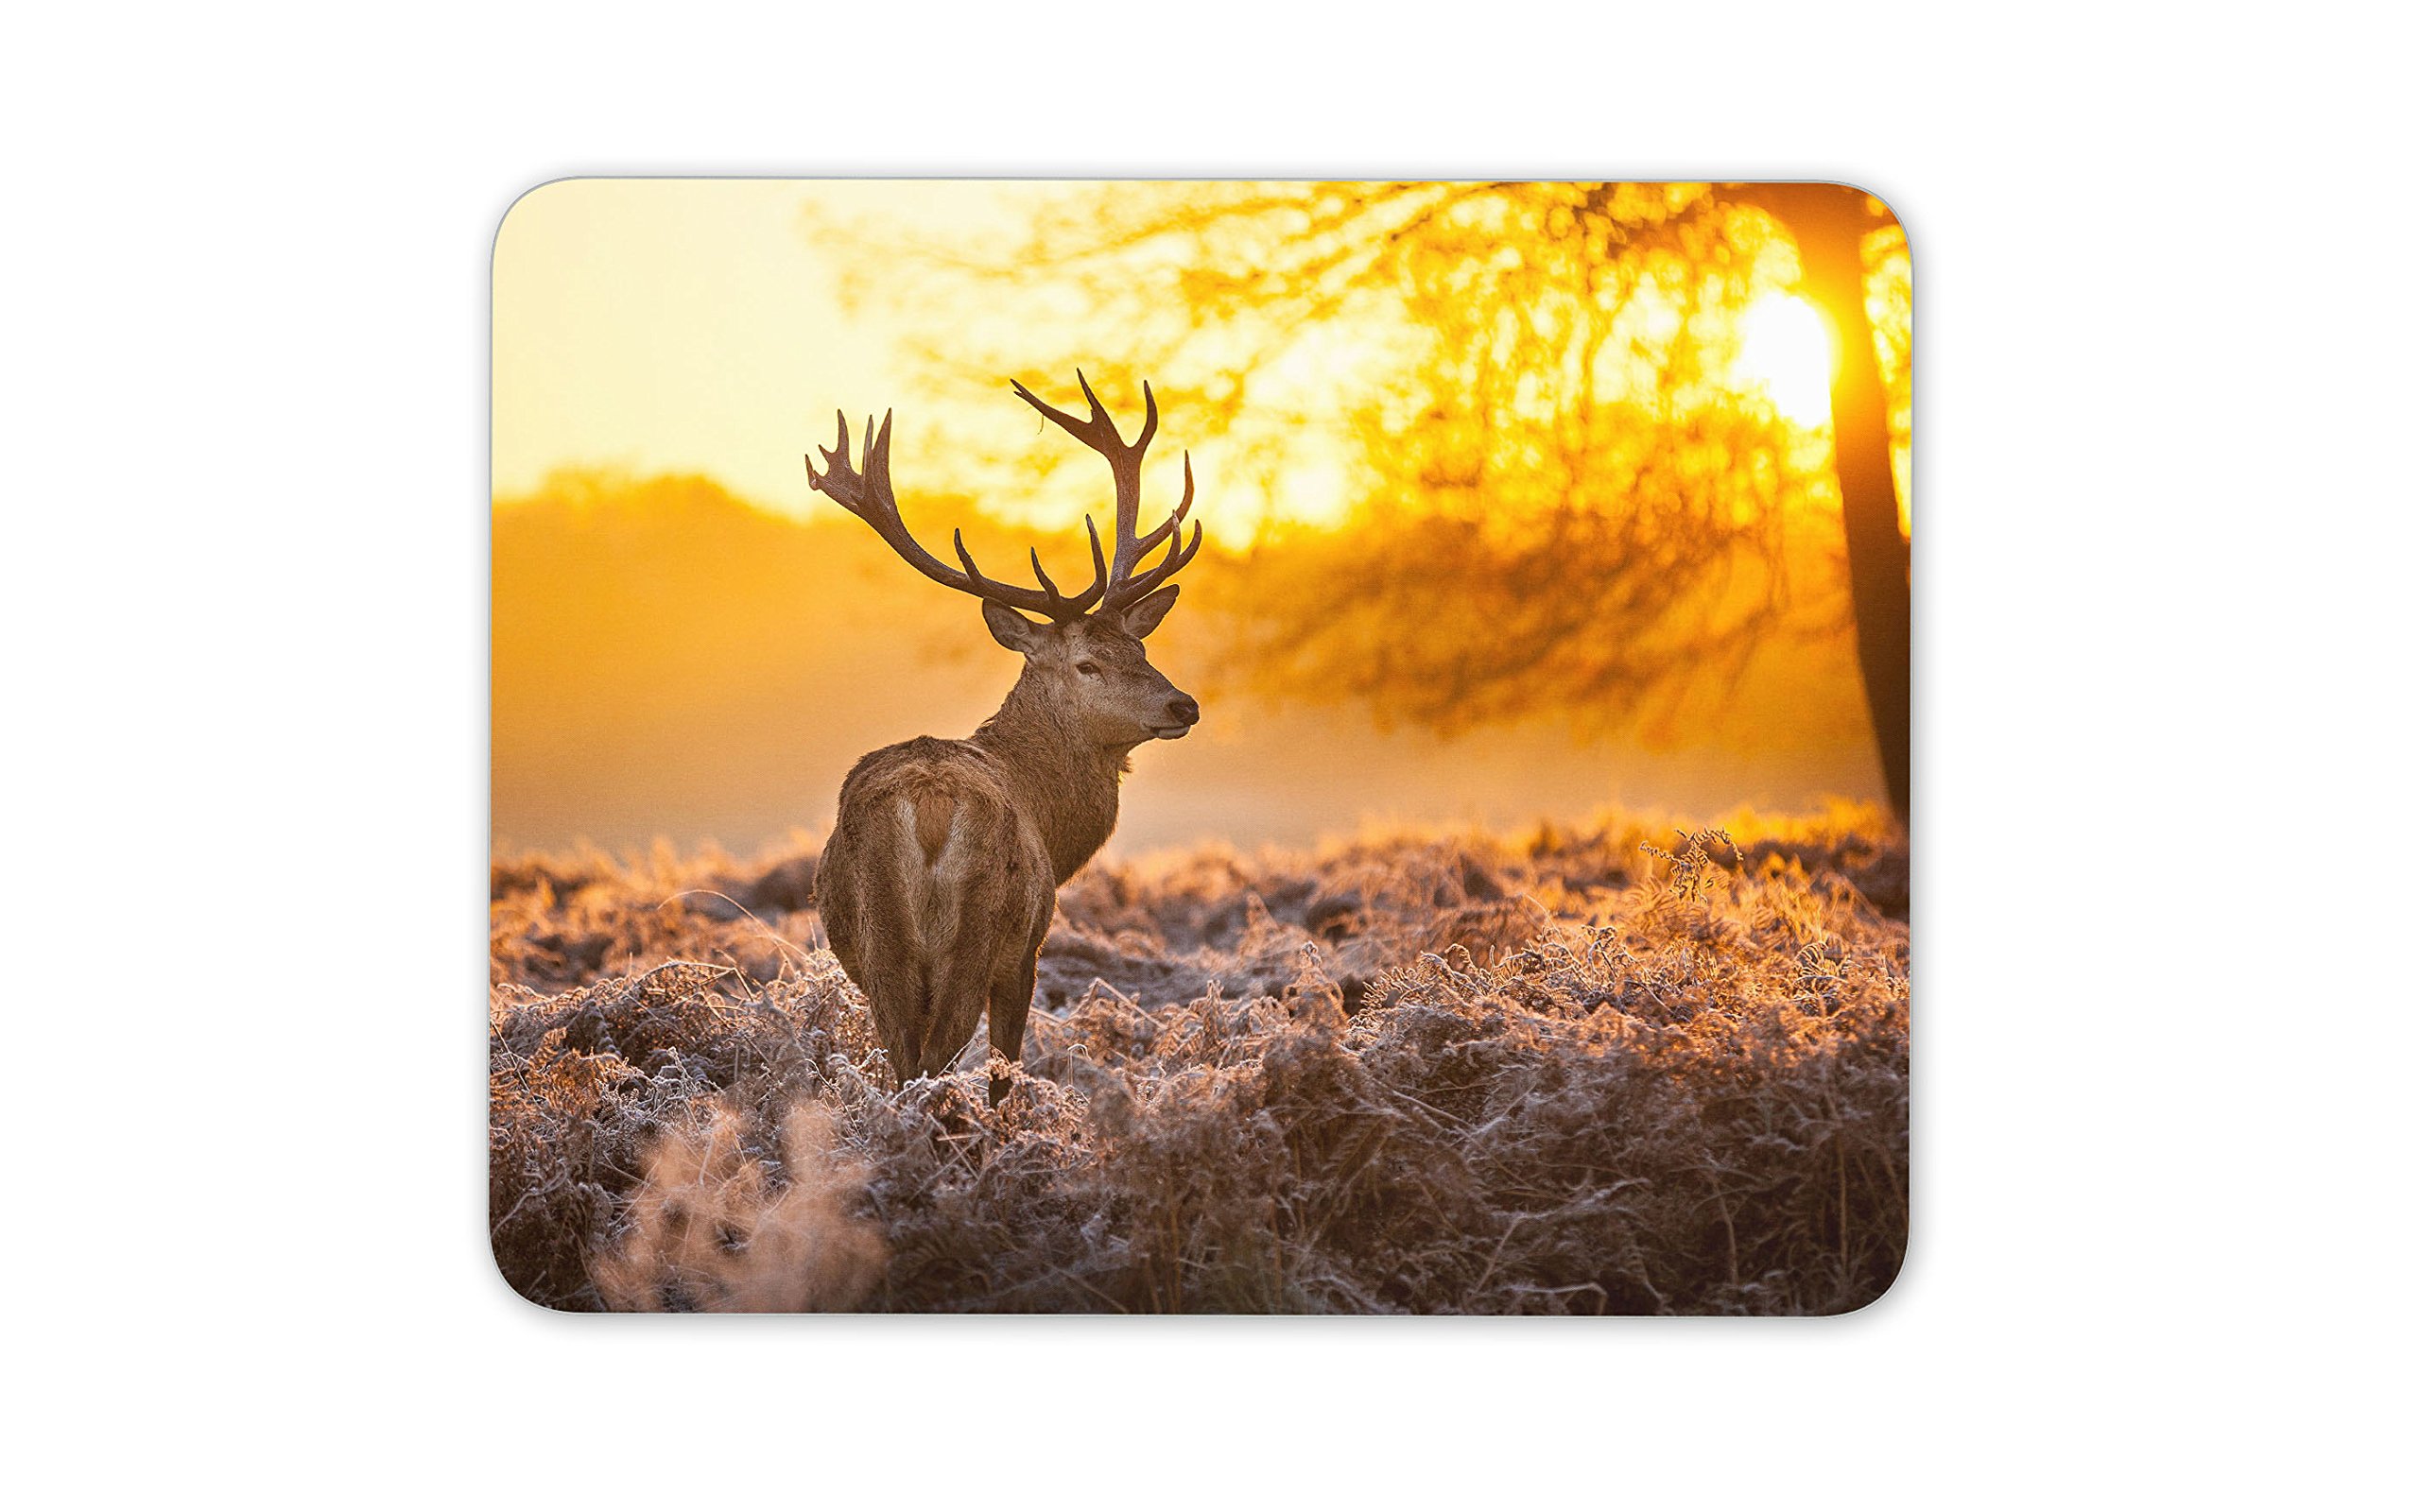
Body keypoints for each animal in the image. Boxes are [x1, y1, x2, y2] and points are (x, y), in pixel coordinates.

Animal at [806, 374, 1204, 1106]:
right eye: (1088, 663)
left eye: (1139, 647)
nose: (1183, 703)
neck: (1052, 821)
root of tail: (929, 807)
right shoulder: (1028, 950)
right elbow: (1004, 1072)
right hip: (978, 933)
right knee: (936, 1059)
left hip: (881, 947)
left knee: (904, 1061)